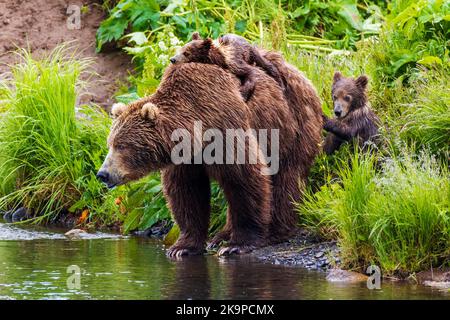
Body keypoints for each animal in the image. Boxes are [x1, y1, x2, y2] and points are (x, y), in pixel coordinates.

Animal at [98, 58, 322, 258]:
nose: (103, 174)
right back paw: (221, 235)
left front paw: (237, 245)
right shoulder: (185, 159)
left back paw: (276, 230)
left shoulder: (226, 129)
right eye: (110, 143)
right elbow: (186, 192)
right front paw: (182, 247)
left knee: (287, 177)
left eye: (122, 145)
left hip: (292, 126)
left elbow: (246, 179)